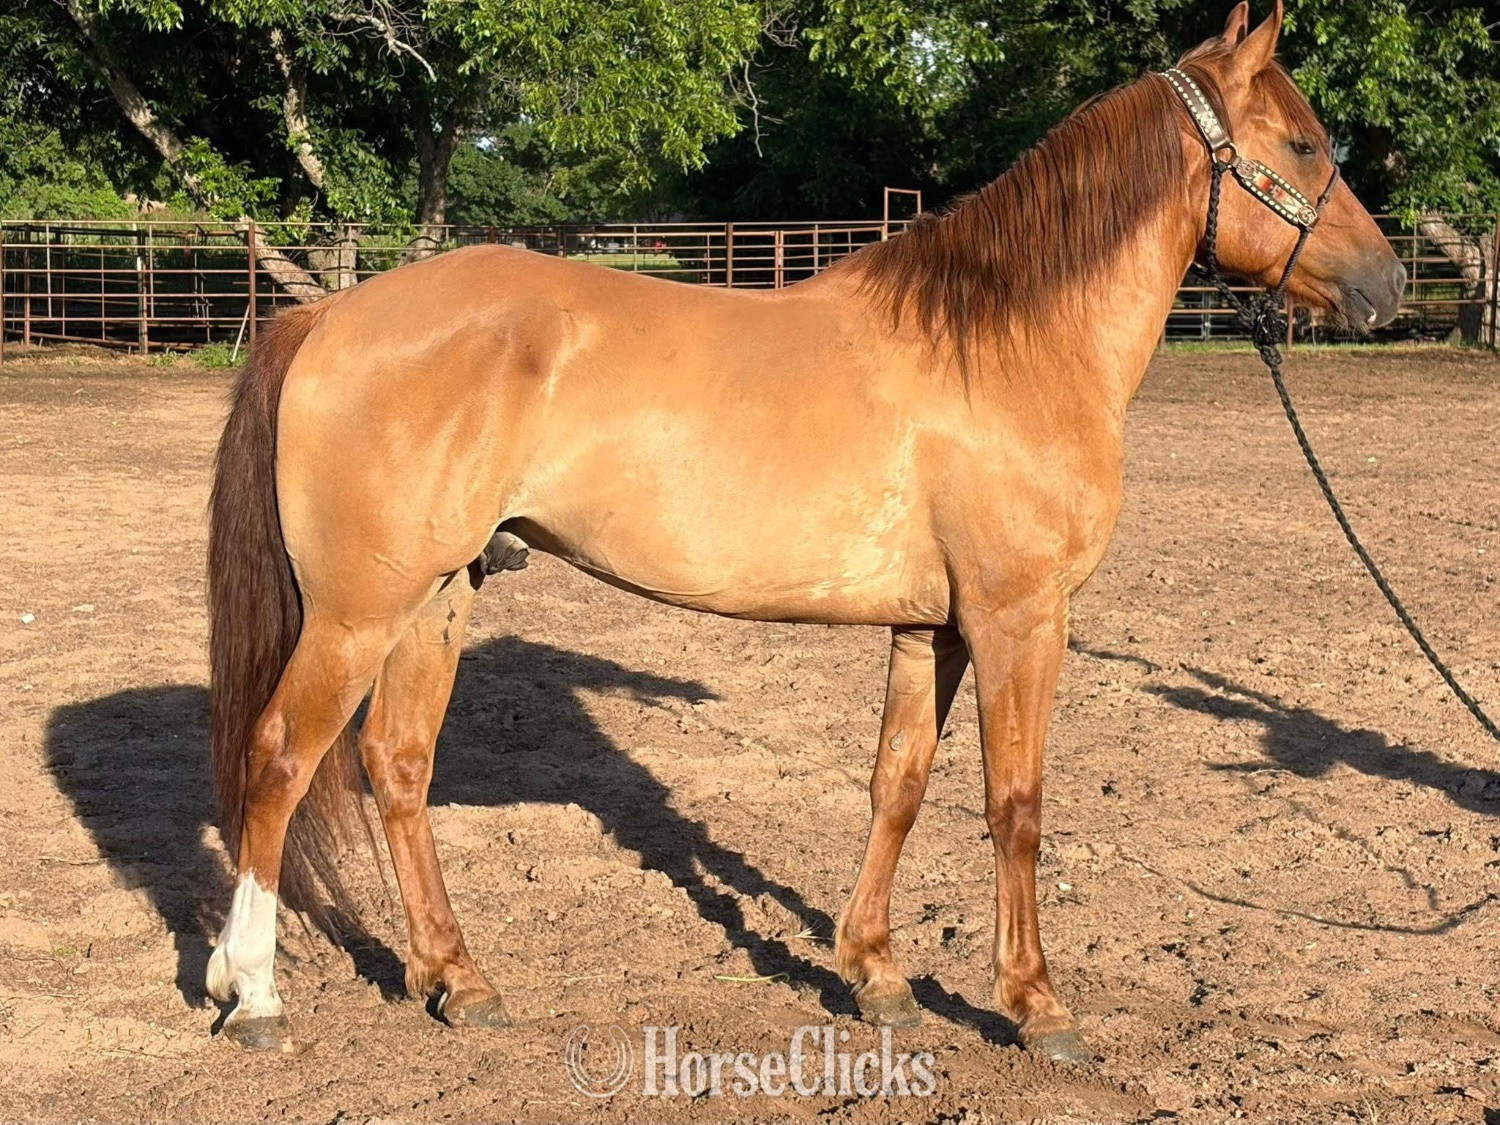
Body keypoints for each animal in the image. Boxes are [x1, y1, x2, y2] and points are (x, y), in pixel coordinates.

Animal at [204, 0, 1404, 1062]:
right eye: (1304, 143)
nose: (1388, 283)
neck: (1006, 344)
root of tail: (328, 314)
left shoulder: (936, 629)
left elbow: (899, 784)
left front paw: (875, 975)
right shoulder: (1021, 619)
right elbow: (1015, 804)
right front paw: (1036, 1005)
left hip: (438, 596)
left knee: (396, 767)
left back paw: (459, 980)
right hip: (359, 612)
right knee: (279, 758)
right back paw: (255, 994)